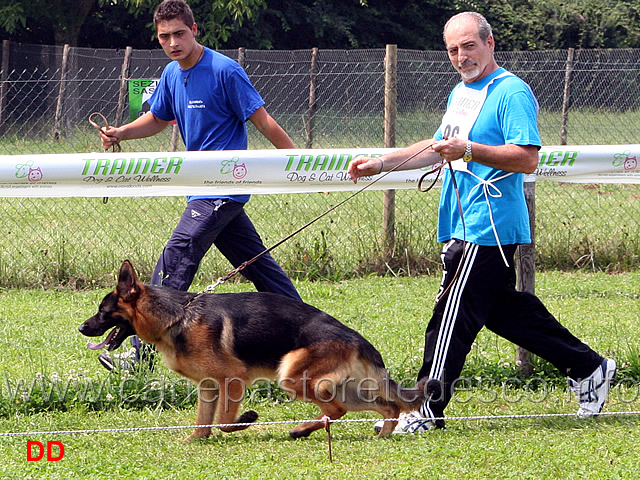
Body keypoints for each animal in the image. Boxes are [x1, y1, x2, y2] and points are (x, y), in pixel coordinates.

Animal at [79, 260, 440, 440]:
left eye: (102, 310)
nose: (82, 328)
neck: (177, 316)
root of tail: (357, 338)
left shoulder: (233, 380)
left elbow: (224, 422)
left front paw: (246, 420)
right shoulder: (209, 387)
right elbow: (203, 424)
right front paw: (195, 442)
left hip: (293, 376)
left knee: (337, 410)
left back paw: (301, 430)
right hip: (342, 387)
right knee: (385, 407)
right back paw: (382, 435)